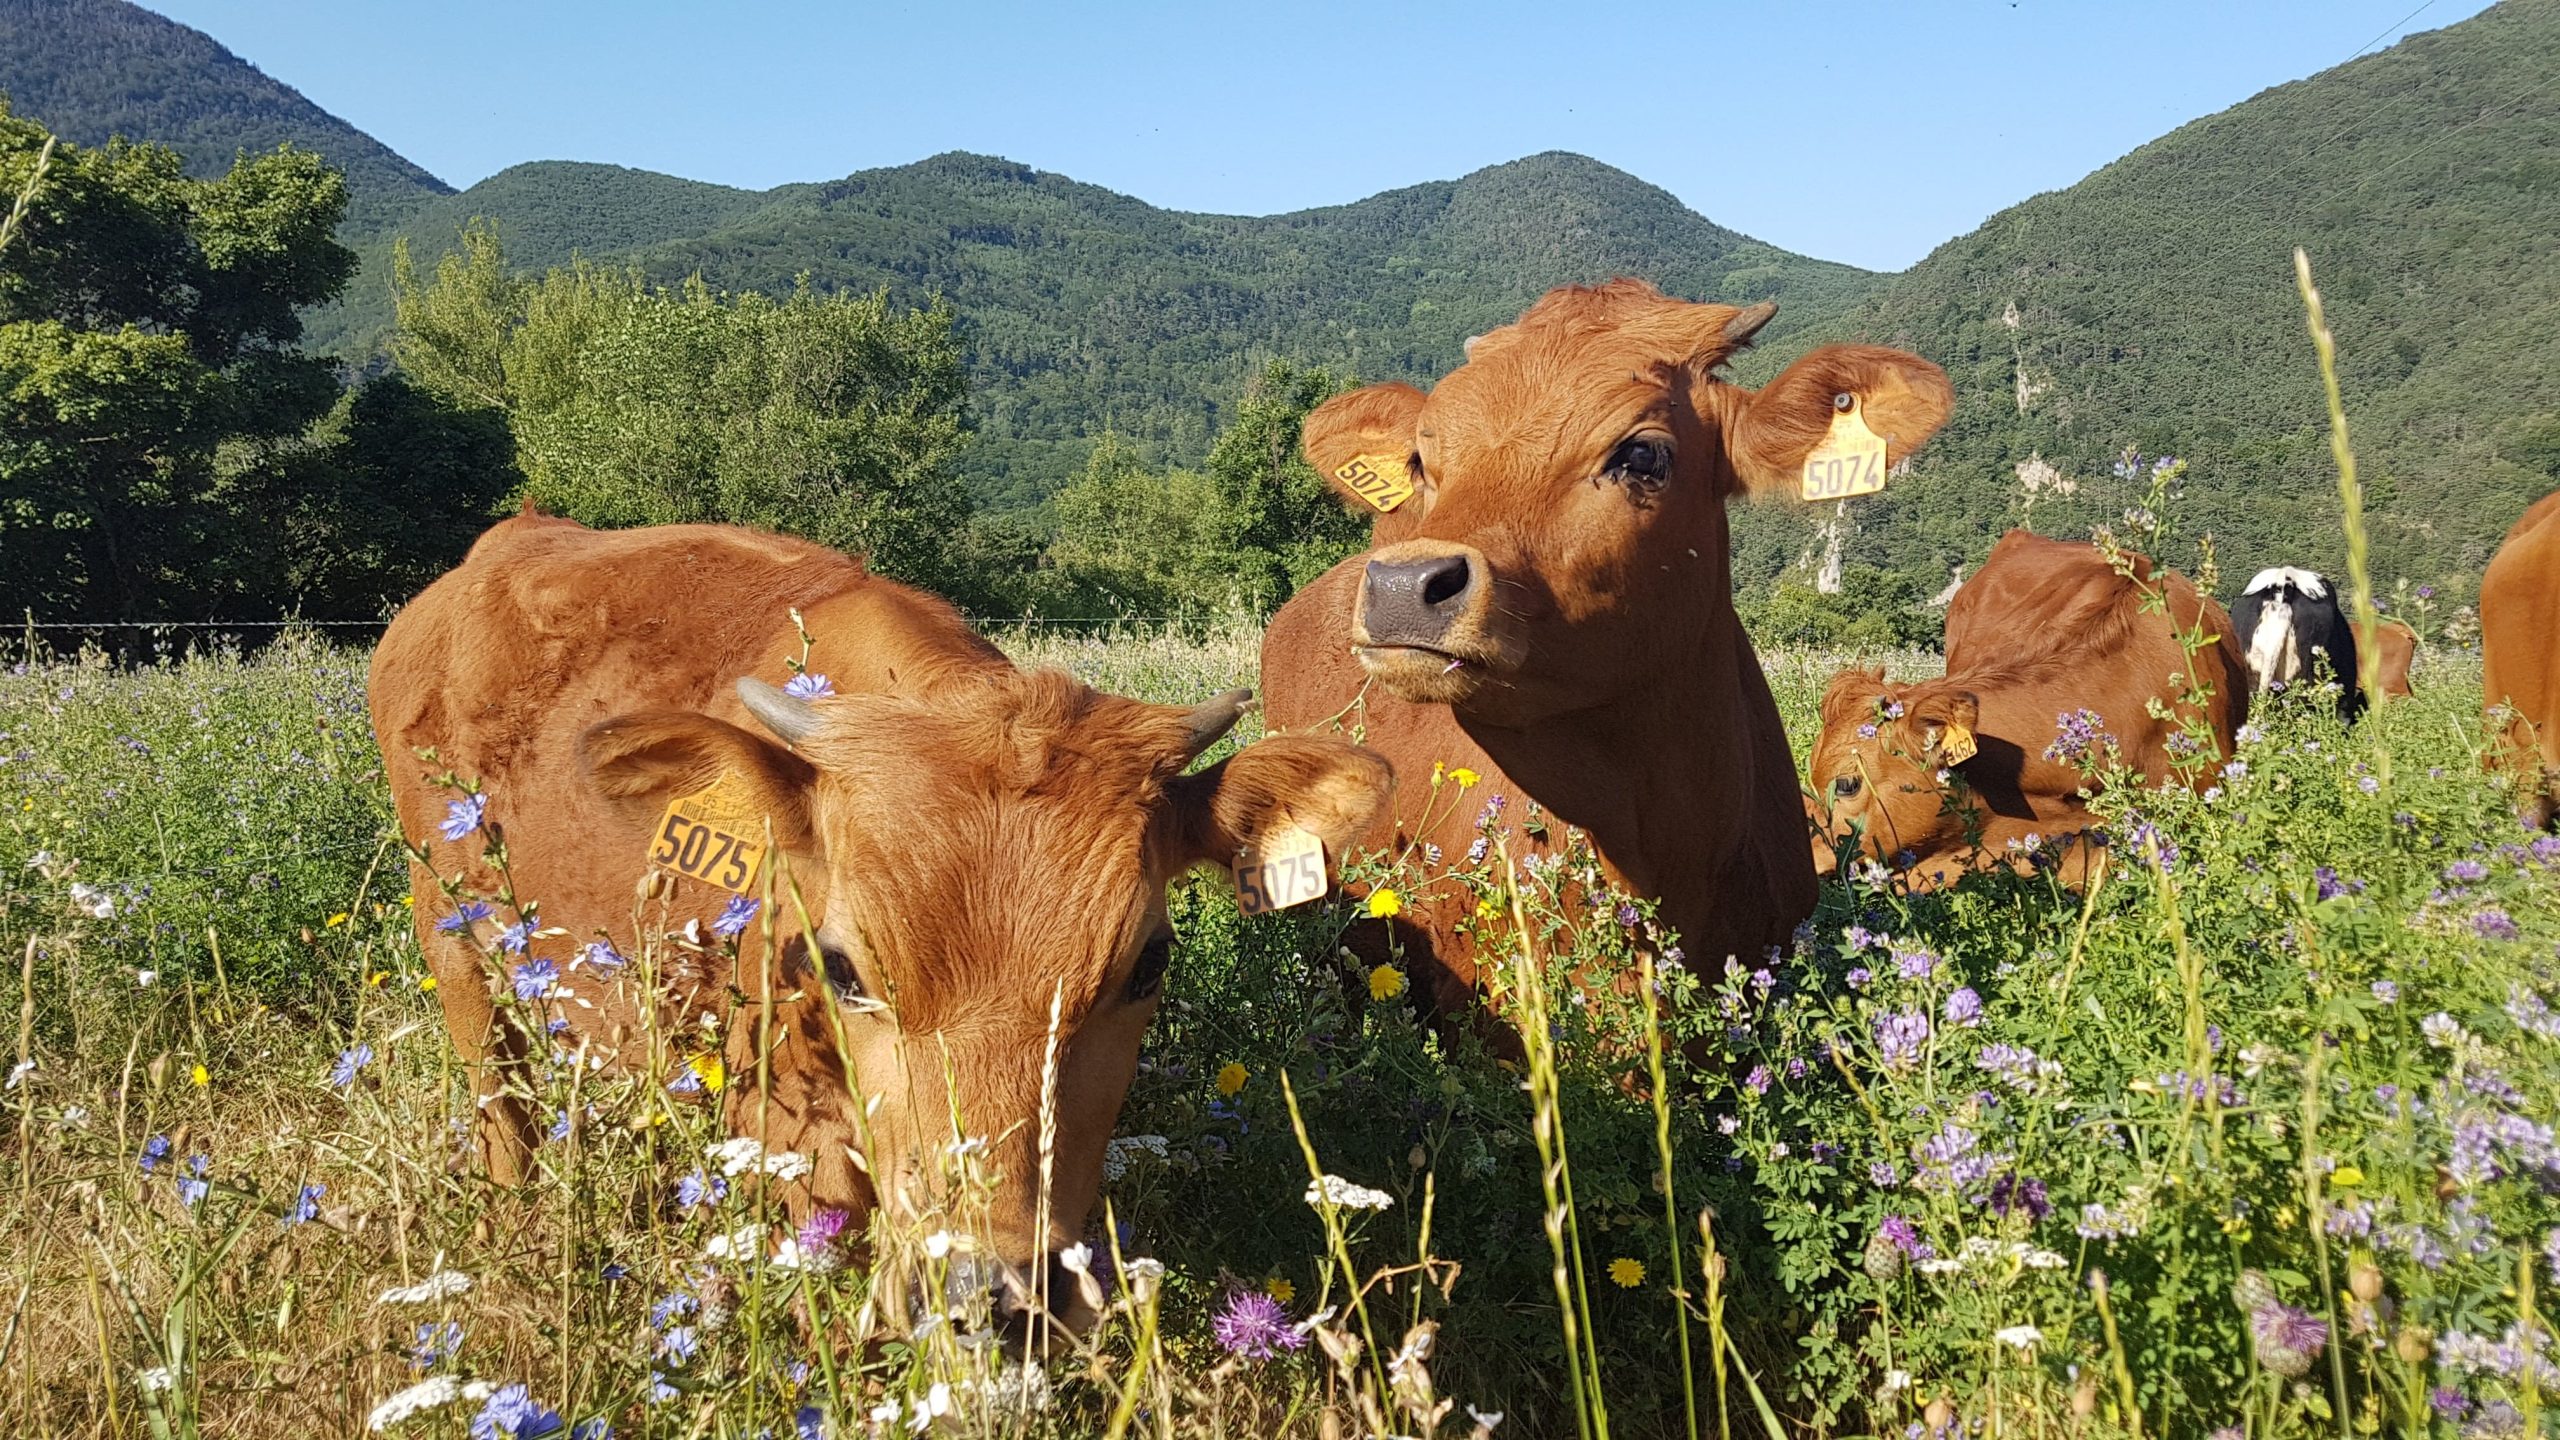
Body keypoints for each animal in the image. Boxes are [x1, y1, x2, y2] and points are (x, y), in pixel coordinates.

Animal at [370, 513, 1392, 1325]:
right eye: (844, 970)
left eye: (1148, 964)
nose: (994, 1292)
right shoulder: (779, 1121)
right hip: (452, 942)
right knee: (500, 1103)